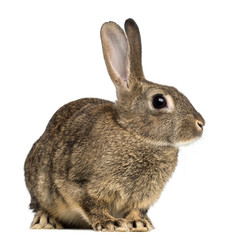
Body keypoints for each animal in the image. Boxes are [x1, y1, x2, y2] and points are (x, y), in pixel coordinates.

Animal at [24, 17, 205, 232]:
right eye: (159, 101)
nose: (201, 124)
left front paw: (139, 223)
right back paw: (45, 221)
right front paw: (109, 223)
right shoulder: (79, 183)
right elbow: (91, 203)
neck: (133, 132)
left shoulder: (141, 198)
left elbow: (136, 209)